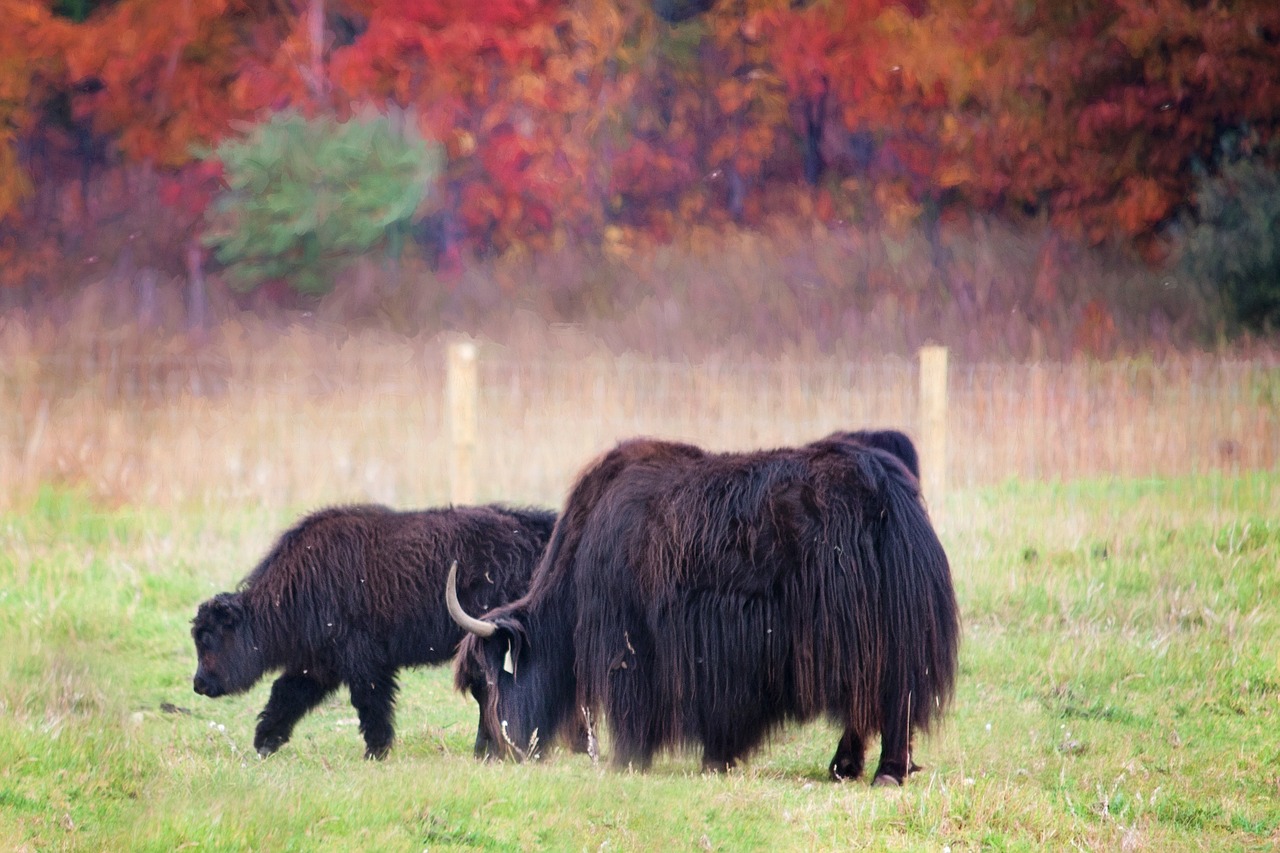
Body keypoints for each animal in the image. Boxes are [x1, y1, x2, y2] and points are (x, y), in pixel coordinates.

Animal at [190, 502, 555, 753]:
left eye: (209, 638)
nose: (198, 683)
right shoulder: (317, 665)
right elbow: (286, 695)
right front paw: (264, 742)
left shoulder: (362, 661)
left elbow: (370, 703)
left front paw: (377, 751)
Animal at [453, 435, 962, 778]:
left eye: (485, 684)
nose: (485, 754)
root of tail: (895, 498)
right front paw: (717, 760)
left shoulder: (627, 639)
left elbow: (632, 703)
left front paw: (628, 761)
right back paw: (848, 768)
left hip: (867, 636)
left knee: (887, 698)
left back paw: (882, 772)